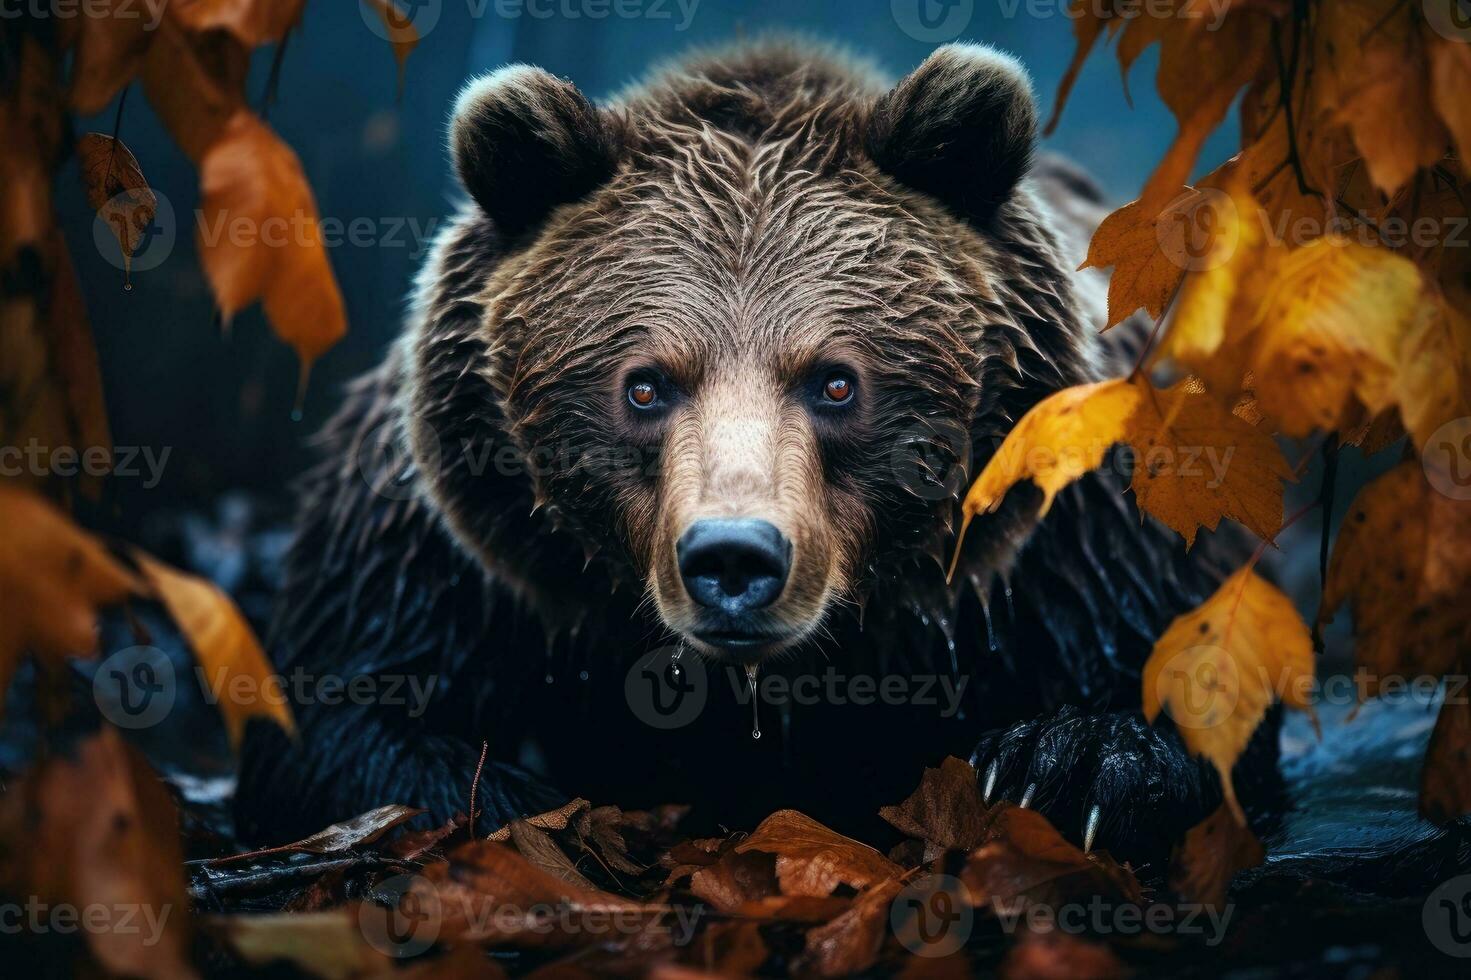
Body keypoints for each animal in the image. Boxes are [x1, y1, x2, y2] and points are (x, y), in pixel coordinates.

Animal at [235, 40, 1282, 865]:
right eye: (644, 384)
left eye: (835, 380)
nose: (733, 557)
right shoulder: (448, 541)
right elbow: (345, 712)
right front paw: (512, 796)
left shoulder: (1073, 525)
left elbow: (1178, 670)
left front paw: (1066, 765)